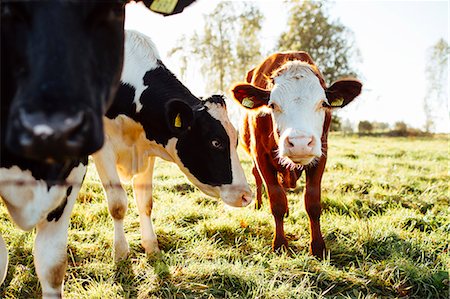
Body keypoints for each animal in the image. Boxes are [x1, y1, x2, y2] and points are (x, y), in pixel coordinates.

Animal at [92, 29, 253, 262]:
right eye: (216, 142)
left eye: (236, 140)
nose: (246, 195)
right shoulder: (103, 150)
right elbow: (118, 203)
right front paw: (121, 253)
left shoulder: (145, 151)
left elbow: (145, 202)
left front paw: (151, 247)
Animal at [232, 51, 362, 258]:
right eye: (272, 105)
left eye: (323, 103)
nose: (300, 143)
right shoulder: (261, 156)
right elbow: (276, 200)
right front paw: (280, 244)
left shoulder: (321, 155)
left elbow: (312, 202)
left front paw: (318, 247)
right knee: (257, 178)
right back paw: (259, 204)